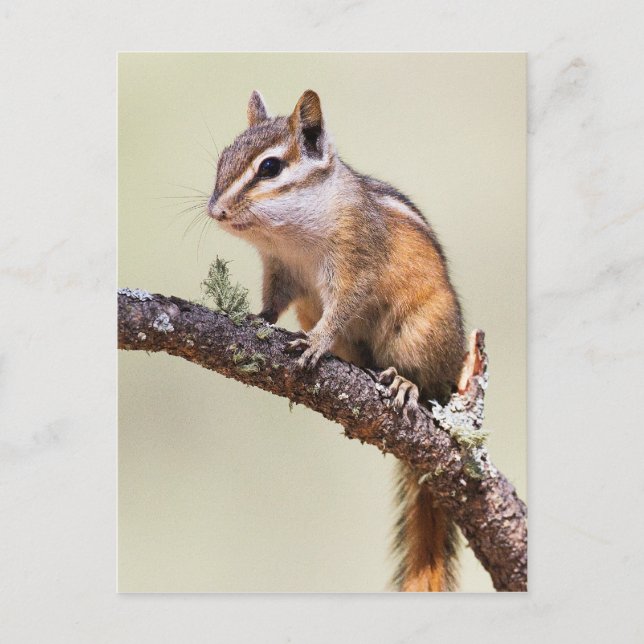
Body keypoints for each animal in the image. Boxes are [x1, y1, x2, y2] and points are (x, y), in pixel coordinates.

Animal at [207, 90, 466, 592]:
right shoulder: (280, 270)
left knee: (428, 387)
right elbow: (273, 301)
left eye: (270, 168)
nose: (216, 212)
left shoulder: (354, 262)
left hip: (423, 333)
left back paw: (406, 384)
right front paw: (256, 319)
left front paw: (315, 343)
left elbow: (343, 308)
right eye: (223, 158)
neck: (290, 235)